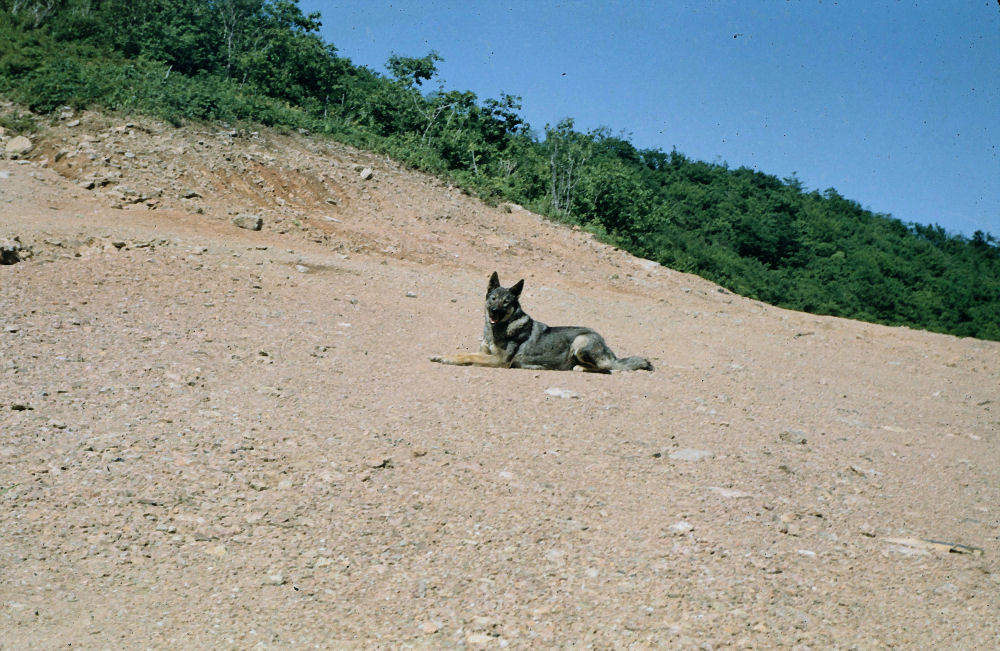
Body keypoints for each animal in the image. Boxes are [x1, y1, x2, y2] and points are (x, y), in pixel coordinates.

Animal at [432, 270, 656, 372]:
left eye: (506, 302)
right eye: (493, 298)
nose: (494, 311)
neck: (497, 329)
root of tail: (609, 349)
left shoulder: (499, 361)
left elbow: (467, 357)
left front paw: (446, 359)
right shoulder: (486, 353)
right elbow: (464, 353)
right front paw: (443, 355)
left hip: (580, 343)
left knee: (606, 369)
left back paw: (581, 368)